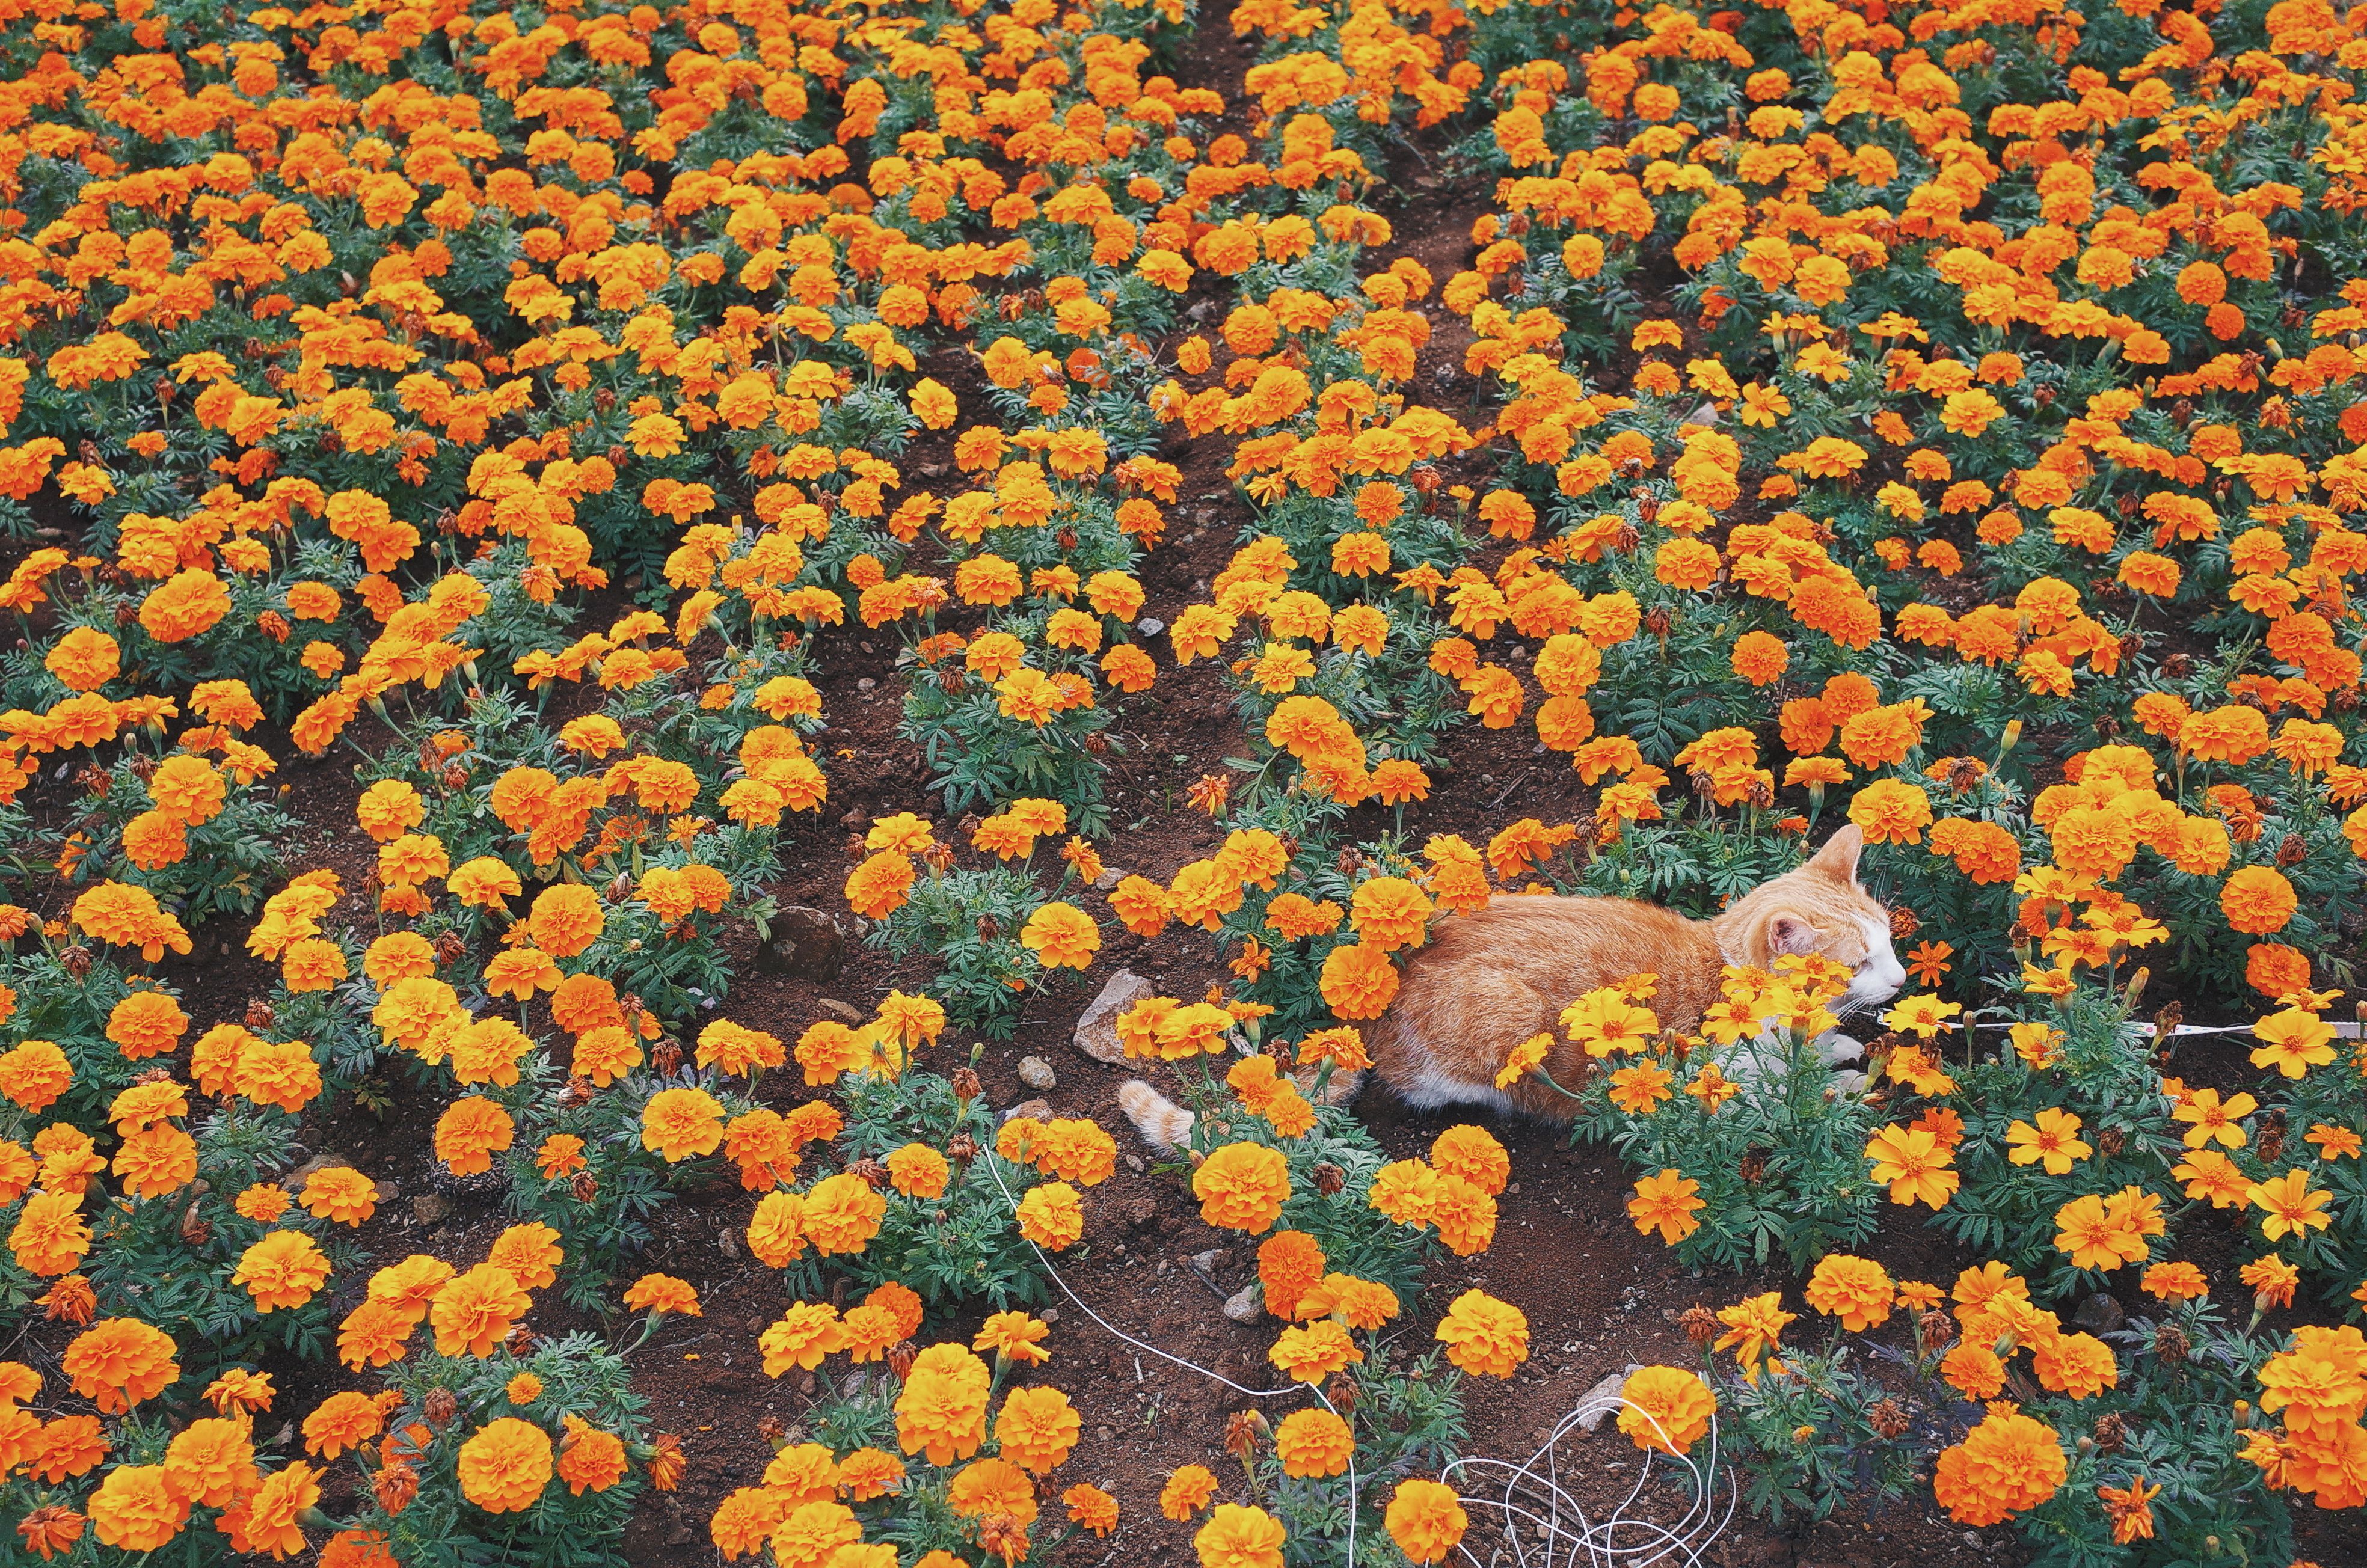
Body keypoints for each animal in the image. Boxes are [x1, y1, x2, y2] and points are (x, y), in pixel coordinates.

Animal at [1117, 822, 1912, 1154]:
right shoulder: (1713, 1093)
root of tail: (1379, 1007)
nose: (1905, 979)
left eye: (1890, 942)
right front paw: (1841, 1087)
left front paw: (1837, 1051)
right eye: (1859, 962)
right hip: (1513, 1017)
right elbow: (1791, 1100)